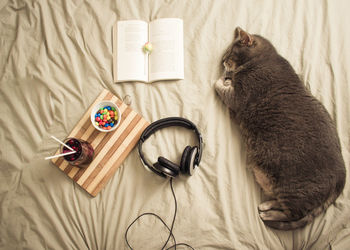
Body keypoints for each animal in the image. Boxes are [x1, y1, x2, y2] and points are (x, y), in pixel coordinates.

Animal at [215, 27, 346, 230]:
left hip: (294, 191)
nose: (222, 60)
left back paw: (268, 214)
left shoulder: (239, 97)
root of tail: (341, 182)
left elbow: (219, 86)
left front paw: (224, 79)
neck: (263, 58)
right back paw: (267, 205)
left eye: (229, 53)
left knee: (292, 214)